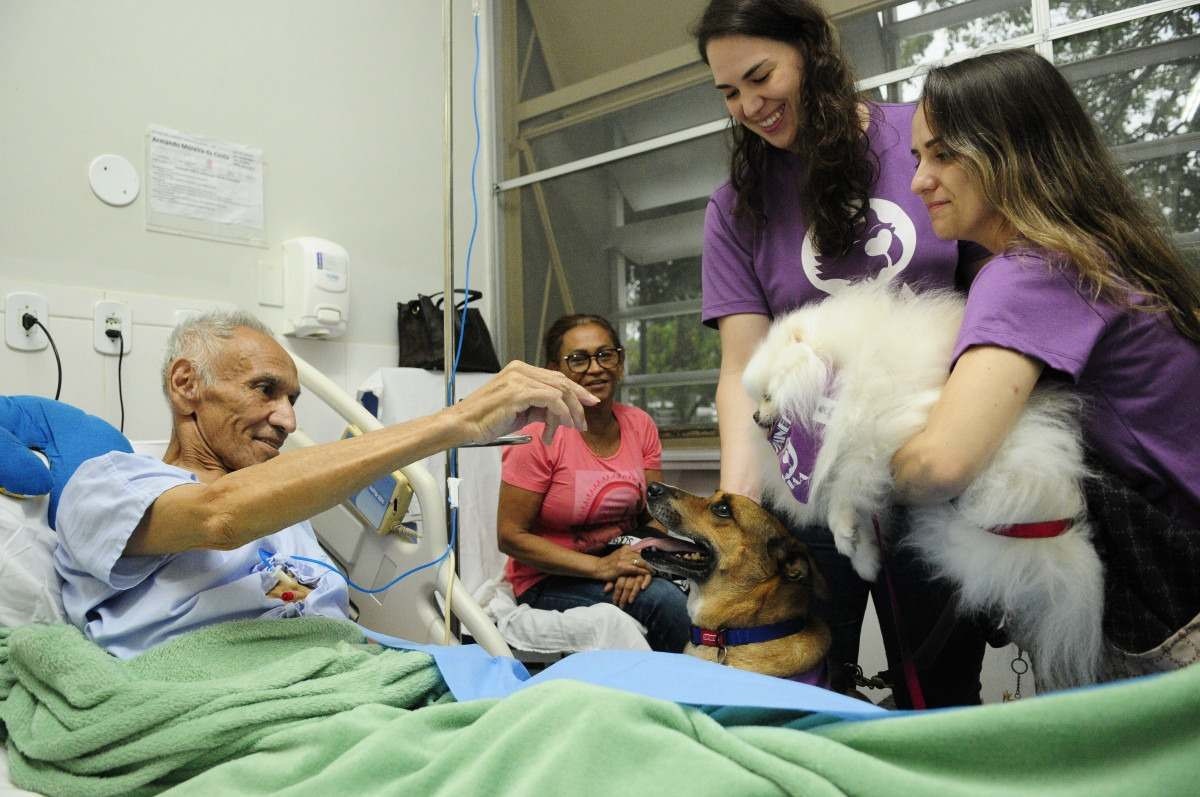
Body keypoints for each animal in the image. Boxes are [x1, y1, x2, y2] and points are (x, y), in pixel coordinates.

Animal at [744, 283, 1099, 686]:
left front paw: (845, 531)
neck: (837, 380)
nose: (754, 416)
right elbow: (860, 508)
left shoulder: (881, 432)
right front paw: (864, 558)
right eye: (757, 398)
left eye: (768, 395)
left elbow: (847, 484)